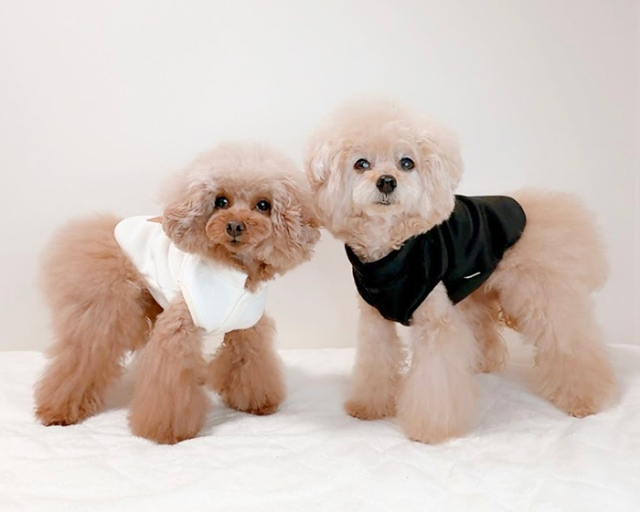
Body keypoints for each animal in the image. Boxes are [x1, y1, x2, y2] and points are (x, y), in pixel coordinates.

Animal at [35, 142, 320, 444]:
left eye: (263, 205)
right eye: (221, 201)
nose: (234, 226)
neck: (235, 271)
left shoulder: (247, 328)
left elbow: (249, 362)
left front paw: (257, 401)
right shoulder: (180, 325)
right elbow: (171, 381)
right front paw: (166, 429)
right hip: (107, 307)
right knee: (83, 354)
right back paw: (58, 410)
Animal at [304, 101, 617, 444]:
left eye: (406, 163)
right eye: (361, 164)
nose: (387, 181)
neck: (393, 250)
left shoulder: (434, 322)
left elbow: (436, 380)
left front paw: (429, 429)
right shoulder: (376, 321)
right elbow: (376, 364)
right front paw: (369, 406)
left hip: (542, 293)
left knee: (570, 340)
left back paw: (584, 398)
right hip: (476, 292)